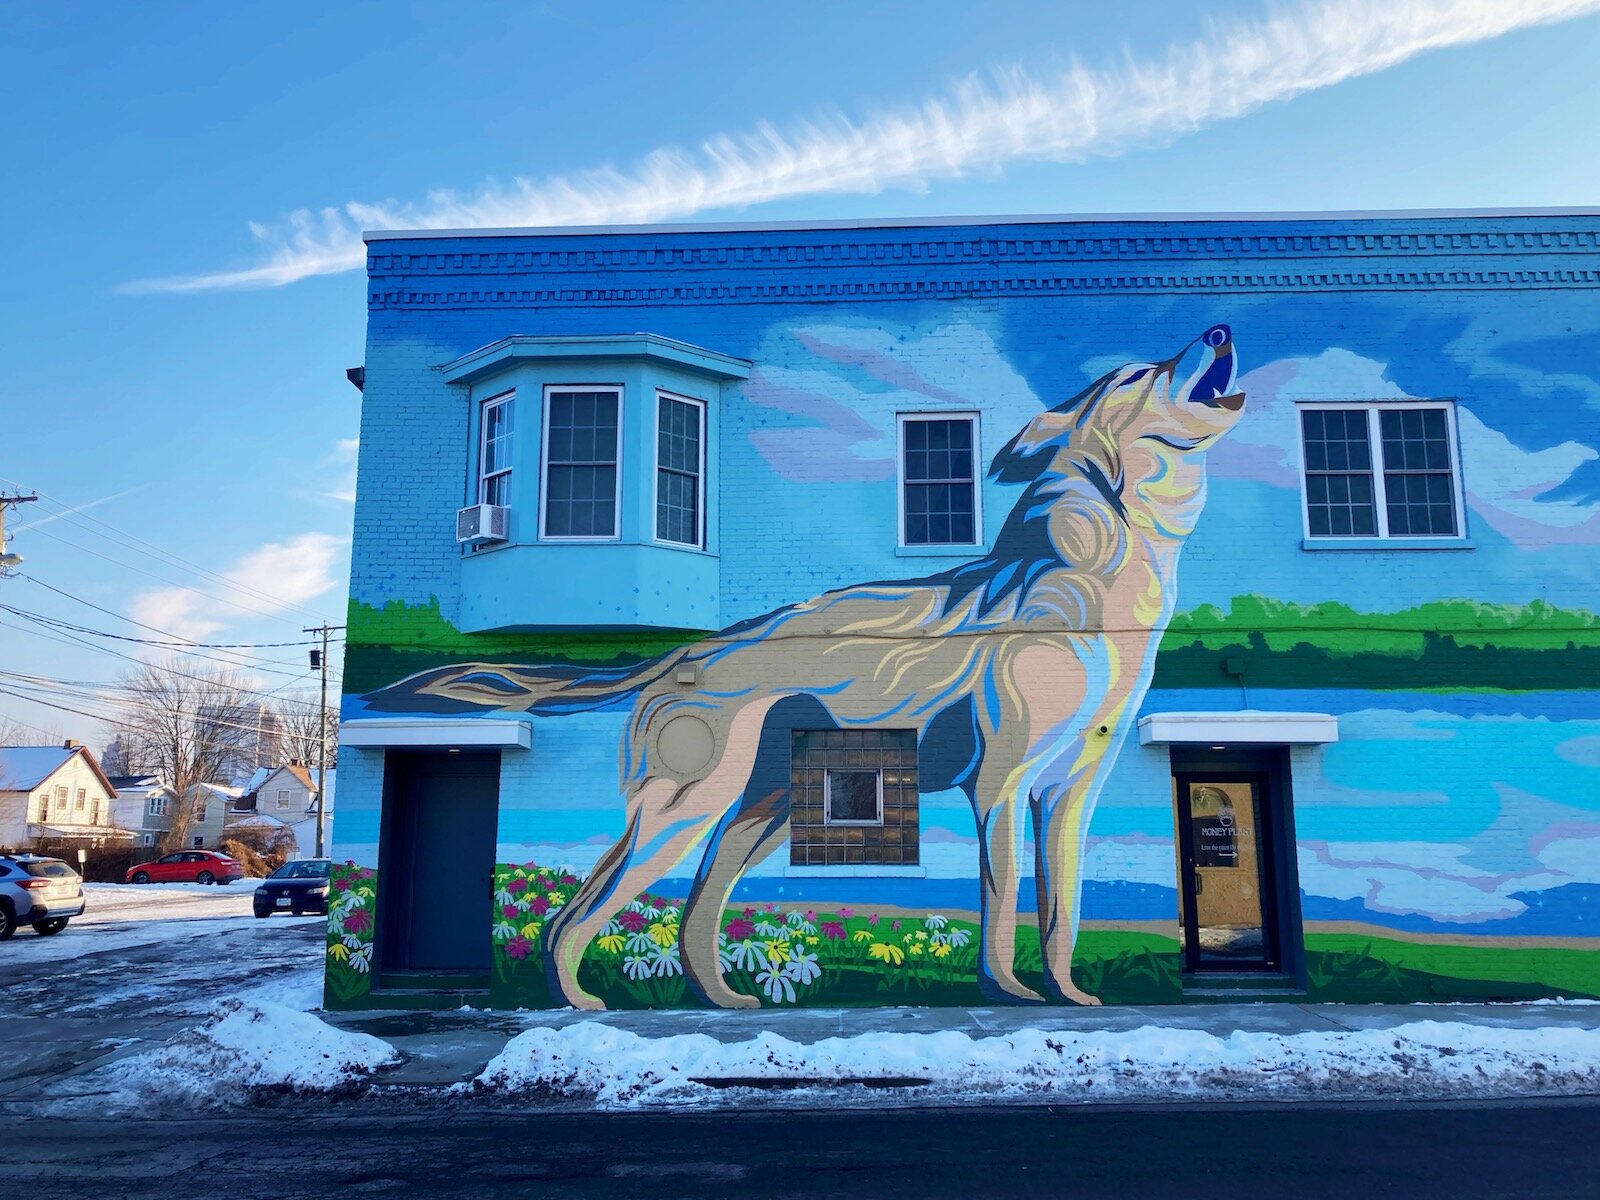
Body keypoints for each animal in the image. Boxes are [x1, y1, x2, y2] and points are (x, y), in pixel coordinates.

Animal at [368, 324, 1241, 1011]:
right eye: (1138, 375)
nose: (1221, 330)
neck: (1094, 571)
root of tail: (689, 650)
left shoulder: (1070, 791)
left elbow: (1063, 917)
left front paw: (1070, 997)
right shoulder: (1000, 783)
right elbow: (1002, 910)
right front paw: (1014, 997)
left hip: (759, 810)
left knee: (695, 916)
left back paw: (720, 999)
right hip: (688, 803)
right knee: (578, 910)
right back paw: (580, 1003)